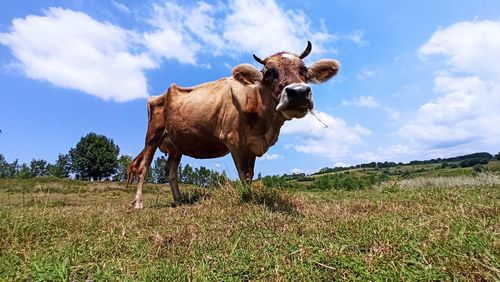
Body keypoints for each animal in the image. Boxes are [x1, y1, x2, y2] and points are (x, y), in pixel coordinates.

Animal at [129, 41, 340, 209]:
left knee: (171, 171)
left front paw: (250, 195)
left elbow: (251, 174)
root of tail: (159, 95)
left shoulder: (253, 144)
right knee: (144, 167)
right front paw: (248, 199)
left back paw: (179, 199)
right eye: (269, 73)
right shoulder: (234, 141)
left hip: (175, 145)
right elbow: (243, 173)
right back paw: (139, 202)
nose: (298, 93)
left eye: (304, 70)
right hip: (152, 137)